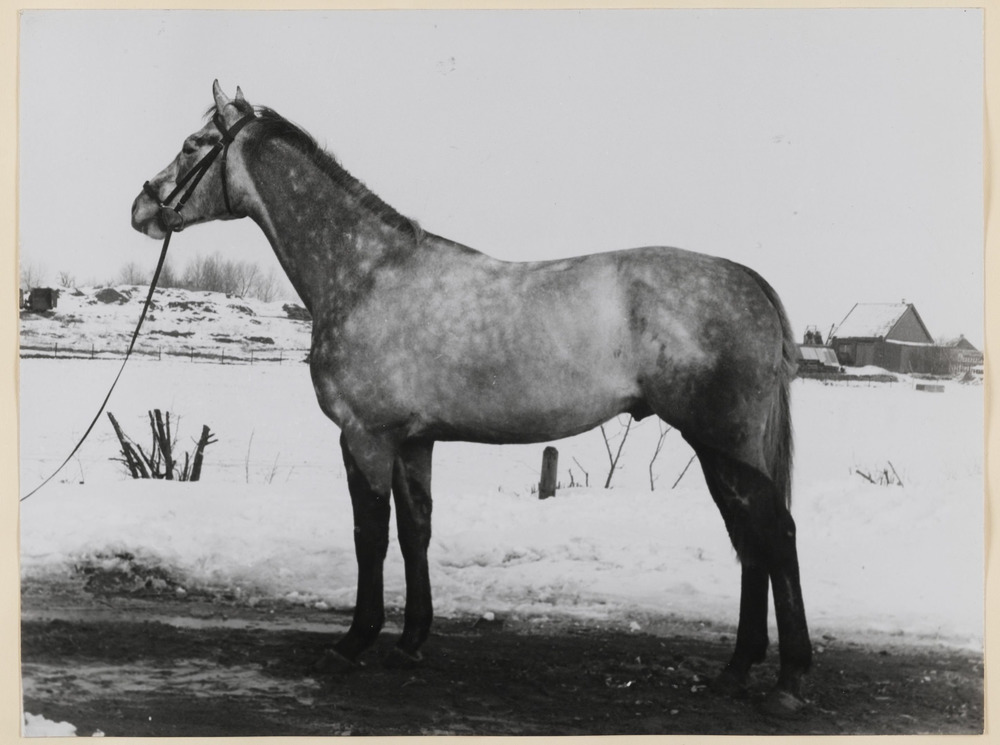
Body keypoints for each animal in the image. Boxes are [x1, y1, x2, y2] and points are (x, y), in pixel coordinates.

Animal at [132, 81, 811, 716]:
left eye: (193, 145)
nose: (141, 206)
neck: (366, 274)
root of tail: (744, 278)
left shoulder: (364, 437)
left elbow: (370, 536)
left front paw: (353, 643)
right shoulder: (414, 442)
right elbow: (416, 532)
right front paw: (410, 643)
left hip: (726, 442)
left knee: (774, 533)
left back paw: (789, 679)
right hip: (720, 448)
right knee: (750, 540)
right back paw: (737, 670)